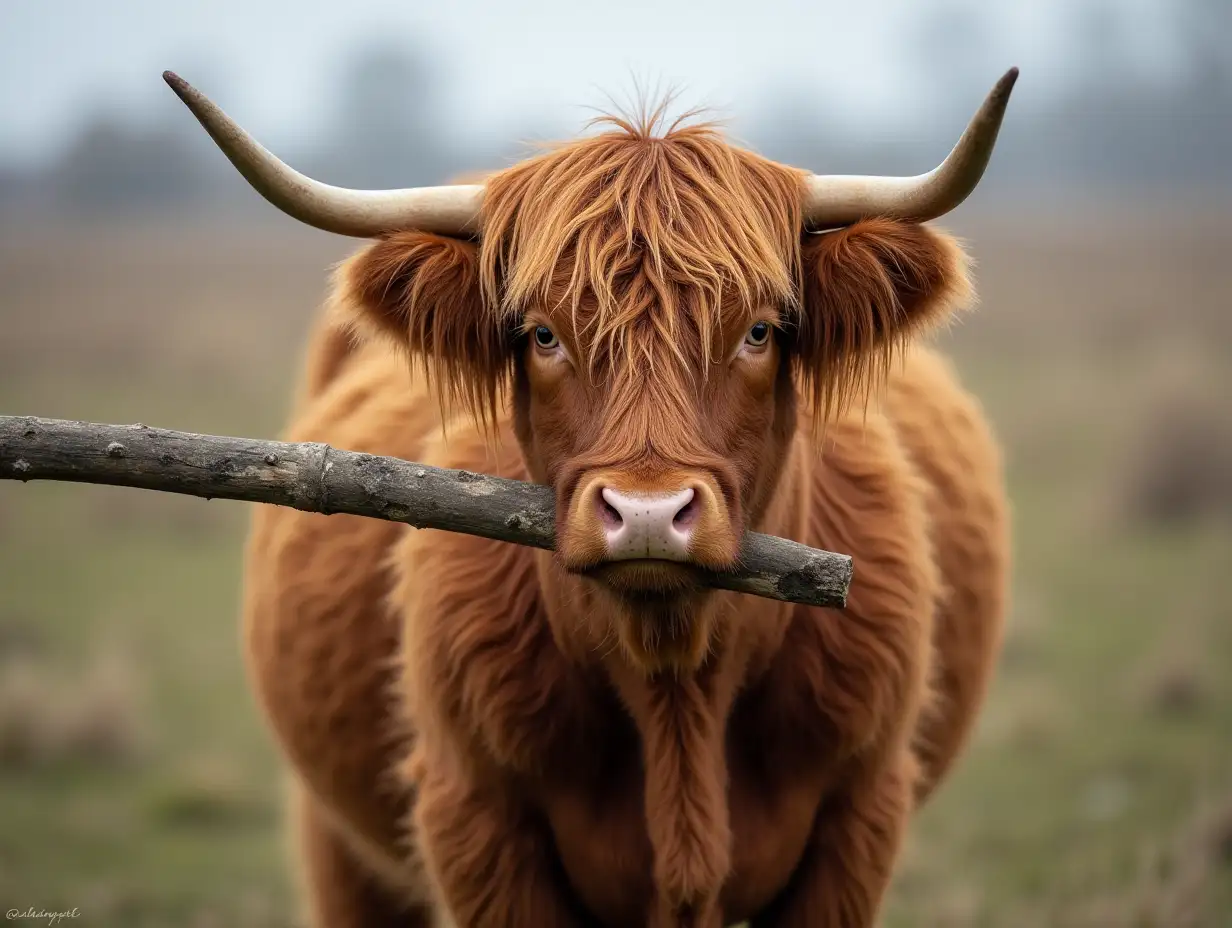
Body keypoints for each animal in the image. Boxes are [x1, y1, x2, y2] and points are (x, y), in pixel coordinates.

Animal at [161, 66, 1010, 926]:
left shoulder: (859, 816)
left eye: (759, 331)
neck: (675, 686)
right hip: (340, 842)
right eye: (543, 335)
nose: (648, 515)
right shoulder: (476, 824)